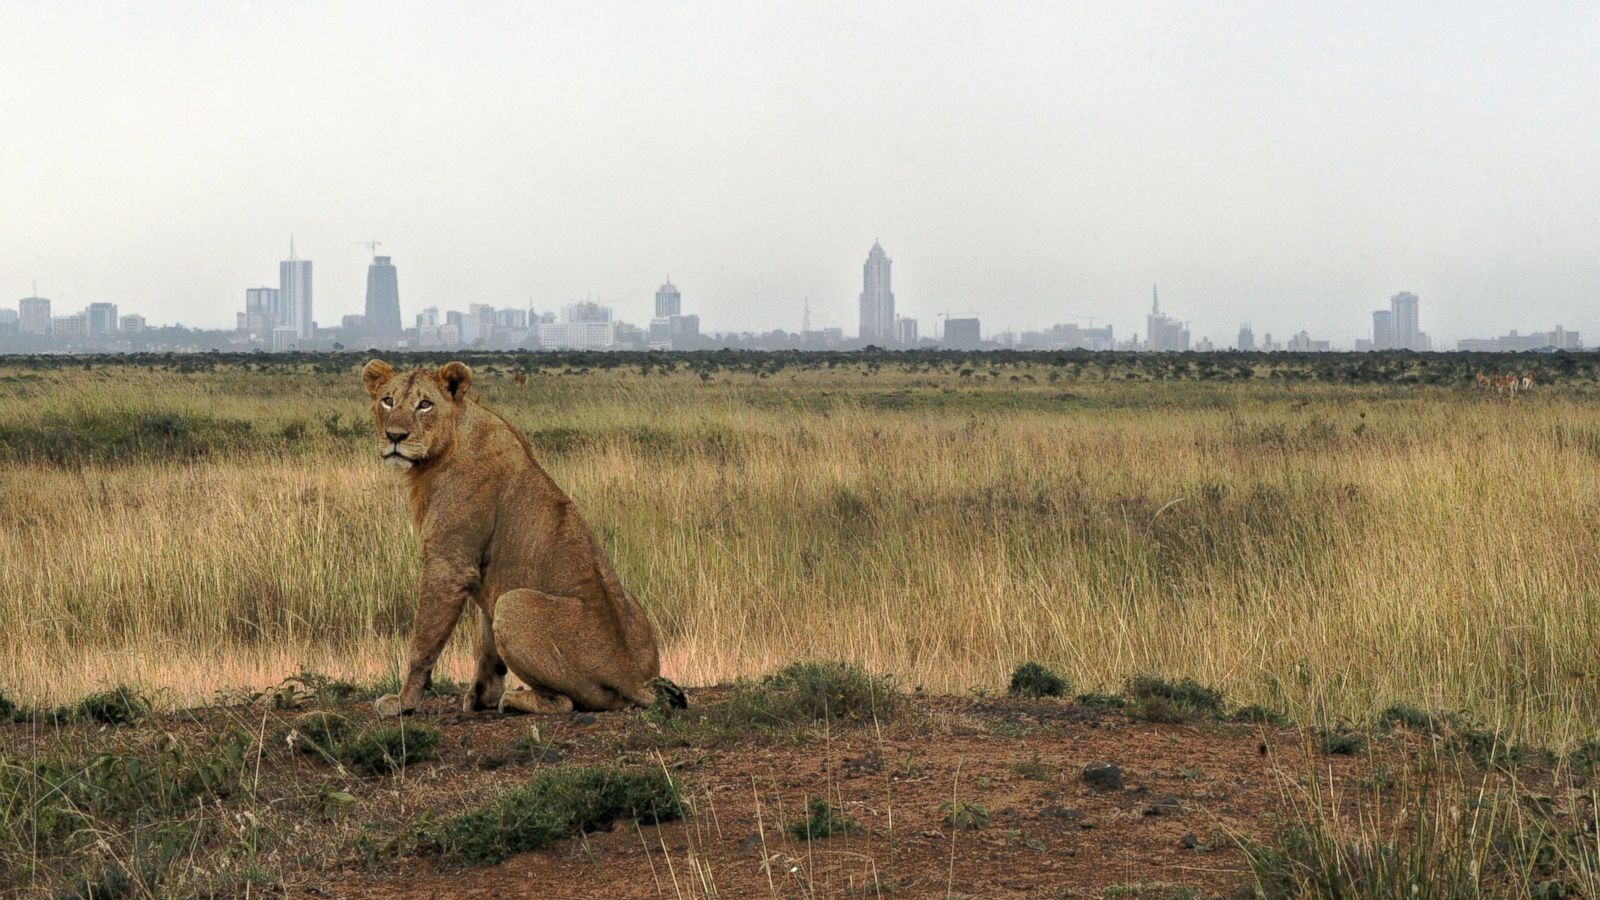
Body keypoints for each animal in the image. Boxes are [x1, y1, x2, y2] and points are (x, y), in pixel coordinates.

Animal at [360, 357, 678, 714]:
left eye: (425, 404)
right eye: (387, 400)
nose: (395, 436)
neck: (443, 450)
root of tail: (633, 678)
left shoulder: (449, 564)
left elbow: (423, 643)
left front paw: (403, 703)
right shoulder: (483, 578)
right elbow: (486, 646)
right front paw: (480, 695)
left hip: (514, 603)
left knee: (565, 702)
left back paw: (515, 699)